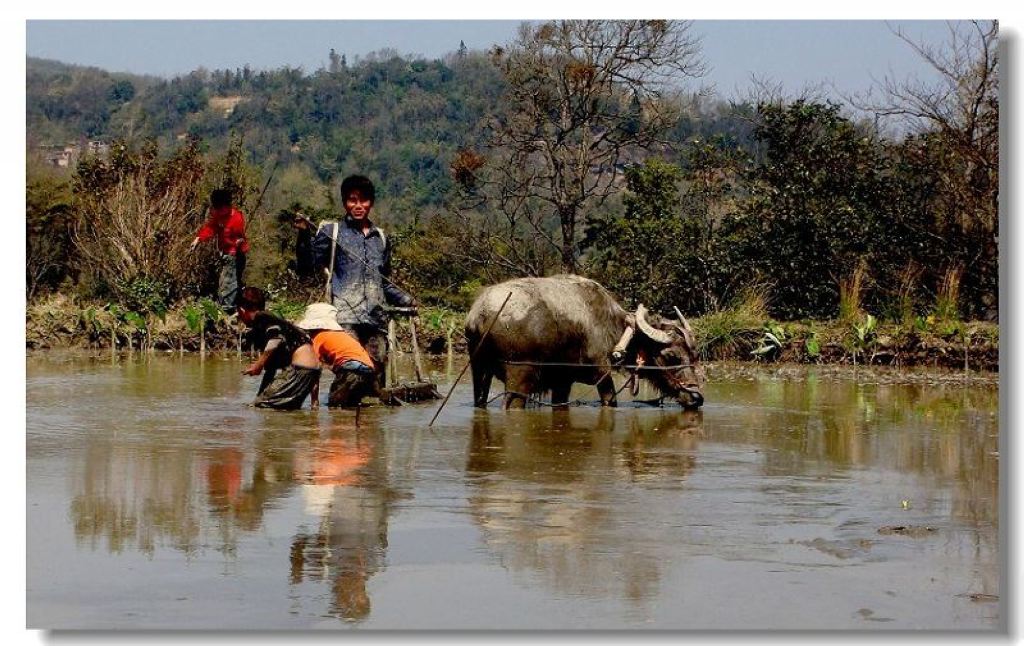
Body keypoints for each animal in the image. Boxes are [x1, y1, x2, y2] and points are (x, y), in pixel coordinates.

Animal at [464, 274, 704, 409]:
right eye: (671, 356)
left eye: (694, 356)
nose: (697, 397)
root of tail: (479, 315)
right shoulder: (602, 373)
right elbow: (610, 400)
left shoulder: (562, 382)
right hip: (519, 377)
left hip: (480, 371)